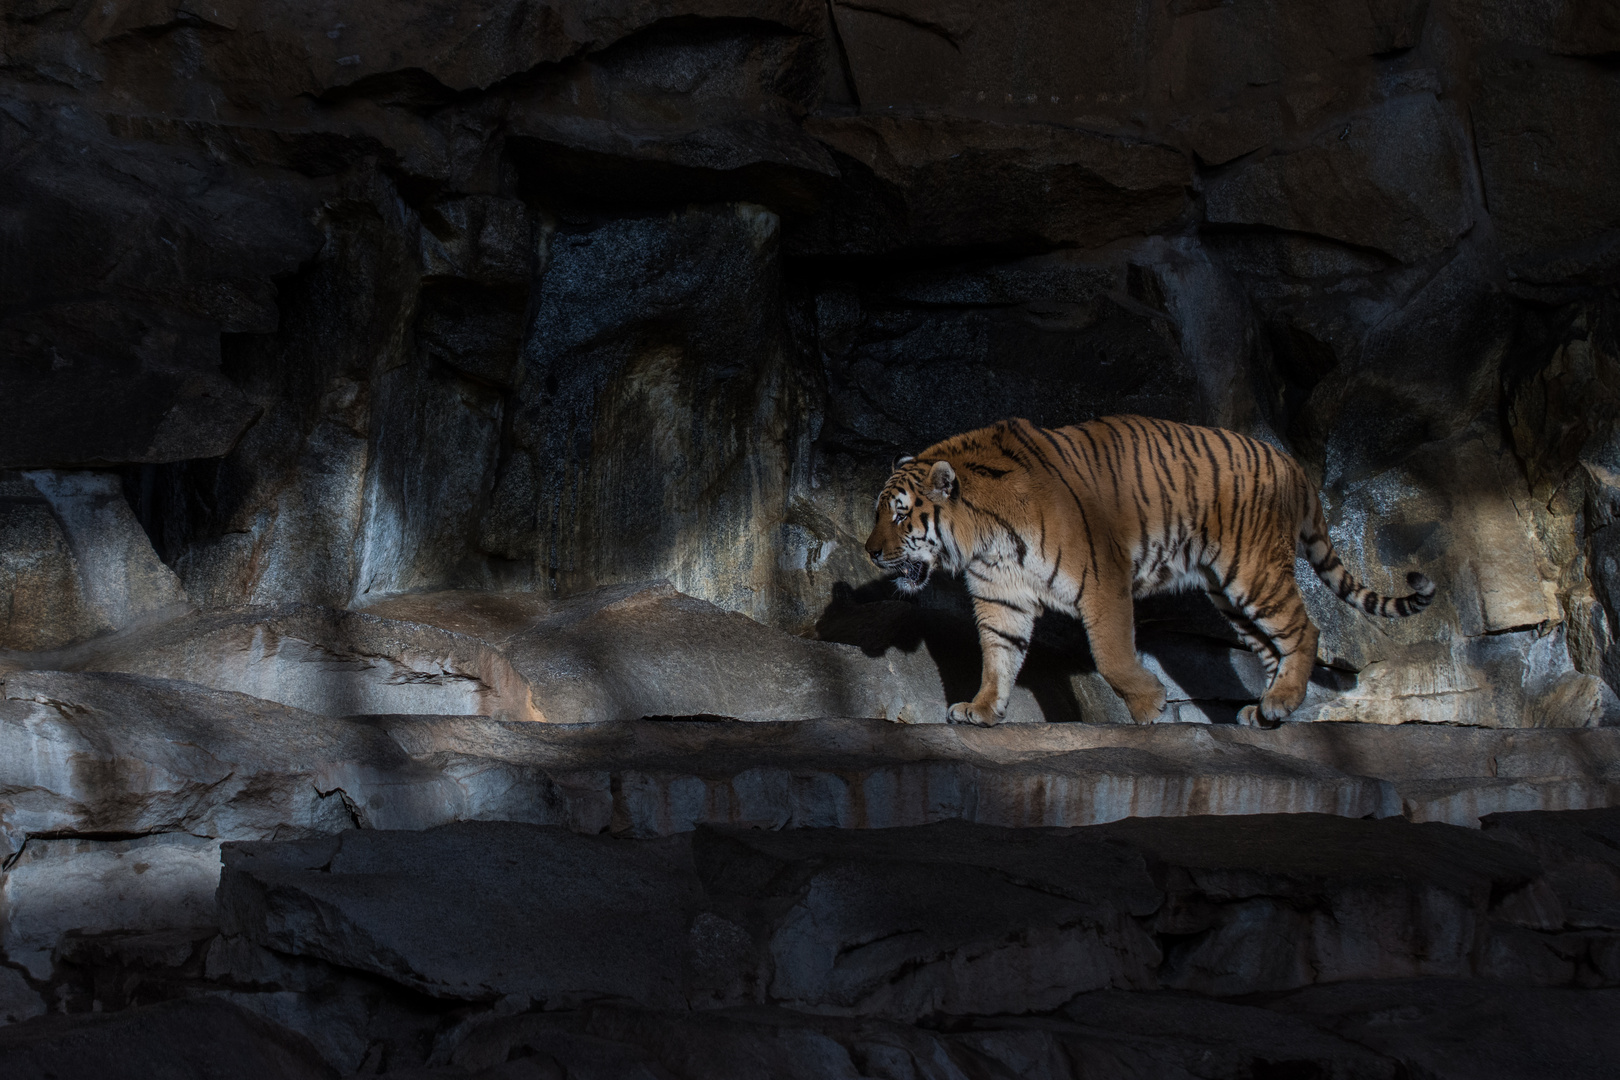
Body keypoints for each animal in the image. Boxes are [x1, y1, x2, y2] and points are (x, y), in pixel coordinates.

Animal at [868, 417, 1438, 731]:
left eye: (899, 515)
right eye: (879, 514)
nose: (871, 552)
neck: (984, 539)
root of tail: (1291, 464)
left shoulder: (1103, 579)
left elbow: (1112, 656)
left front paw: (1150, 707)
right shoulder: (1001, 598)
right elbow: (997, 659)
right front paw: (983, 709)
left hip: (1253, 573)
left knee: (1306, 629)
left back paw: (1279, 702)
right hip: (1229, 596)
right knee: (1273, 647)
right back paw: (1267, 713)